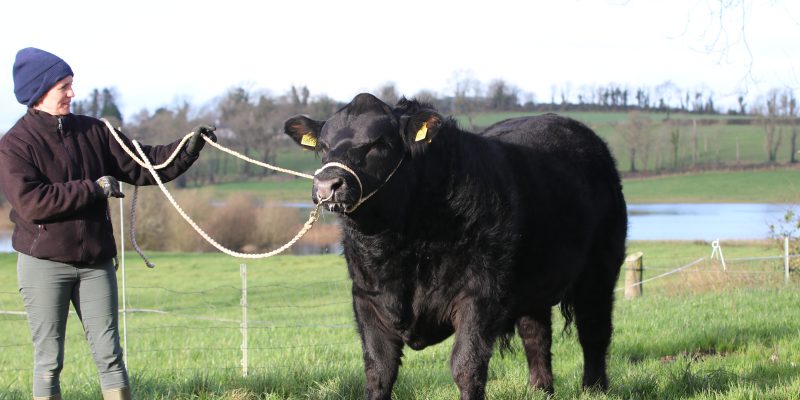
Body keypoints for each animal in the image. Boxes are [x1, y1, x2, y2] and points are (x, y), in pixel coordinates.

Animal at [284, 93, 627, 400]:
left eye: (378, 143)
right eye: (323, 147)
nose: (327, 184)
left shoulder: (479, 296)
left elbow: (466, 365)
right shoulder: (366, 299)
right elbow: (379, 370)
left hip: (600, 270)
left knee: (594, 330)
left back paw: (595, 389)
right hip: (534, 283)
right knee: (536, 335)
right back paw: (540, 390)